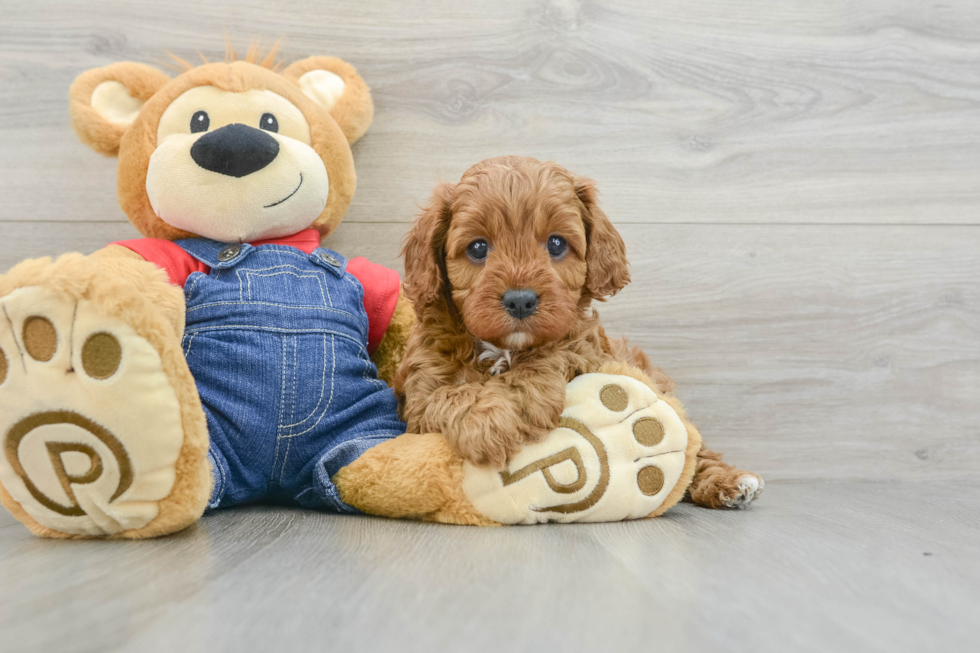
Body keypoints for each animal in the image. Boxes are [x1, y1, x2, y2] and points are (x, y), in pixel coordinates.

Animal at [398, 157, 764, 510]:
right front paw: (486, 422)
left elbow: (553, 354)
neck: (504, 348)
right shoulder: (420, 396)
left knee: (695, 449)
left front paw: (511, 402)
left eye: (556, 243)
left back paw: (729, 481)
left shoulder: (587, 349)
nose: (520, 300)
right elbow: (448, 394)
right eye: (477, 248)